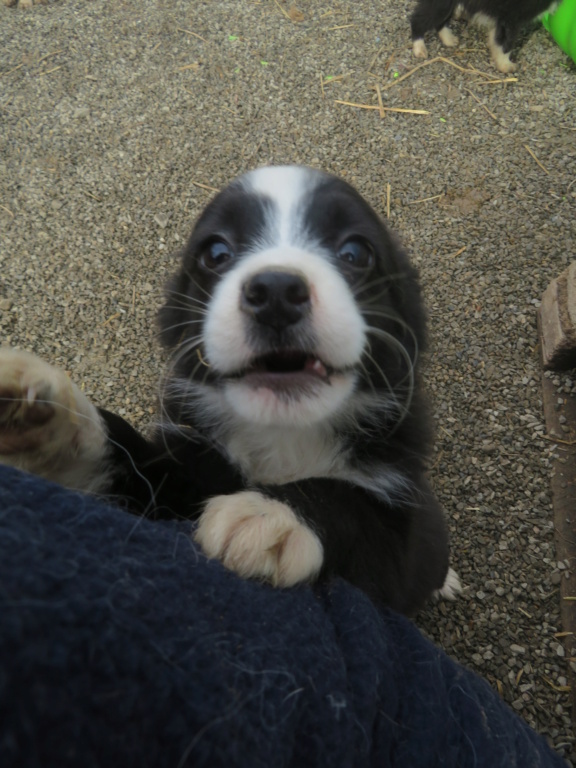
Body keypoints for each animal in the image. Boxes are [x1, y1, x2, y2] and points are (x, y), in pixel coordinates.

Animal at [0, 166, 460, 616]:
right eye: (216, 252)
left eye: (356, 252)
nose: (276, 292)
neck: (285, 436)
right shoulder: (179, 475)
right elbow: (122, 460)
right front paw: (44, 409)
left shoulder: (402, 528)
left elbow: (351, 506)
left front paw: (266, 515)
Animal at [412, 0, 560, 72]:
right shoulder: (511, 18)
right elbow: (506, 44)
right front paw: (505, 66)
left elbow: (497, 39)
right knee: (417, 19)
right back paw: (419, 48)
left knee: (439, 20)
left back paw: (449, 39)